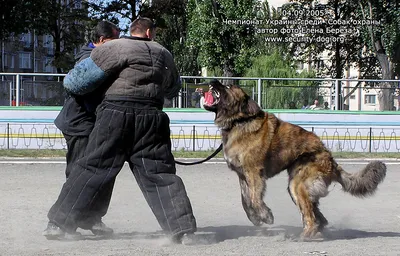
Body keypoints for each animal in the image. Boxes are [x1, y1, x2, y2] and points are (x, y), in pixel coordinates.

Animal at [205, 79, 386, 240]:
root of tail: (332, 161)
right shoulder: (242, 175)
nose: (213, 81)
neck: (239, 121)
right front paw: (255, 218)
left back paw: (304, 236)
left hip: (298, 185)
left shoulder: (254, 173)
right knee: (319, 218)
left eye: (228, 86)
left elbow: (255, 199)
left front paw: (266, 215)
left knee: (311, 217)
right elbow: (245, 201)